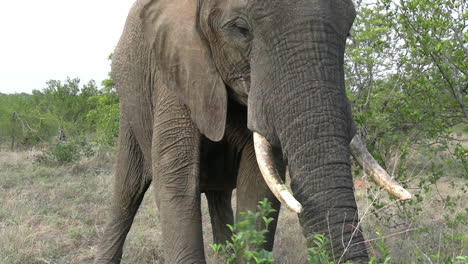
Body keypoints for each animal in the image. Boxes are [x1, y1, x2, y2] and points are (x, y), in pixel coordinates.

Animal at [95, 0, 410, 262]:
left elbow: (258, 189)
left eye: (348, 30)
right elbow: (177, 186)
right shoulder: (175, 72)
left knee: (218, 198)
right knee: (127, 193)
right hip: (130, 112)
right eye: (241, 29)